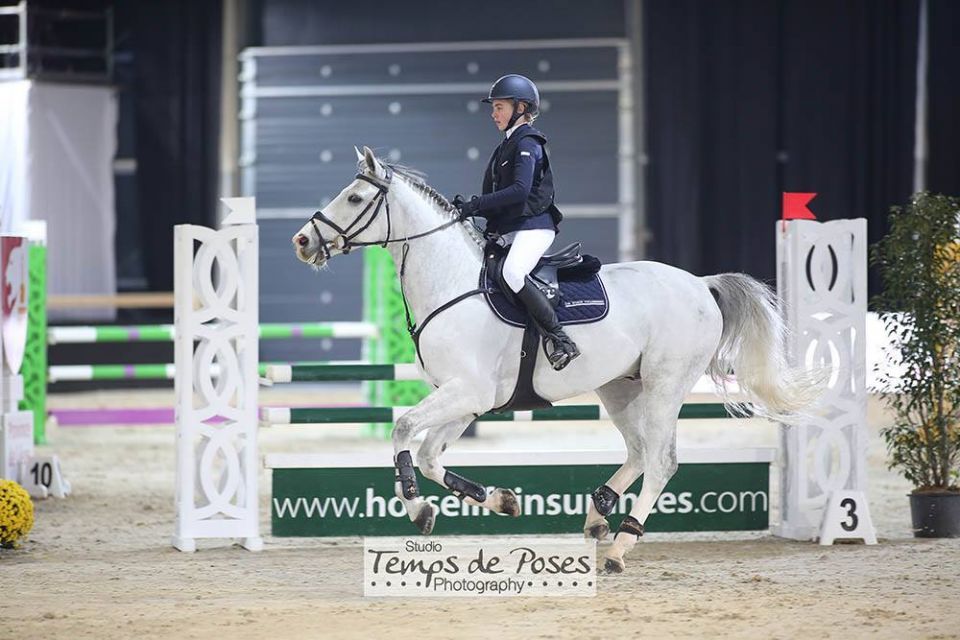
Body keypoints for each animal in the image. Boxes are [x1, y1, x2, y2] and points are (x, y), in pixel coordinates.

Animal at [290, 148, 816, 572]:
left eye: (355, 198)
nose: (303, 241)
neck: (452, 285)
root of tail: (700, 284)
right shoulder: (465, 399)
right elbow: (430, 455)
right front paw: (500, 500)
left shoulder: (467, 392)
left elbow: (403, 431)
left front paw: (417, 508)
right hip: (620, 387)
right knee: (639, 451)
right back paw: (598, 512)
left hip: (666, 385)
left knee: (661, 461)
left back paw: (621, 545)